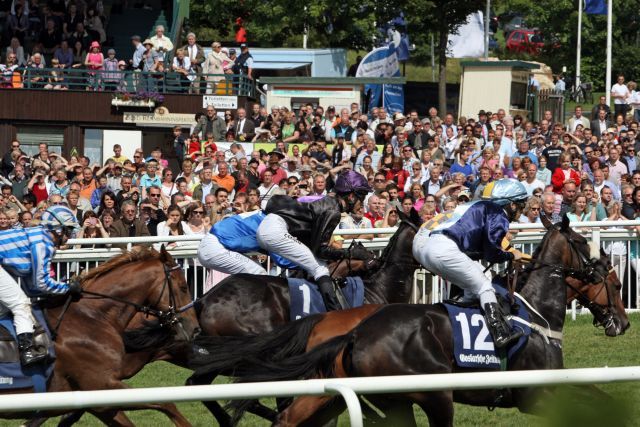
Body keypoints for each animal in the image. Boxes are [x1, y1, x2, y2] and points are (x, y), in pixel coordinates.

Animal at [1, 246, 198, 426]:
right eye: (183, 287)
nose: (195, 328)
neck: (91, 315)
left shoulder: (97, 401)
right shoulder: (101, 385)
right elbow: (166, 403)